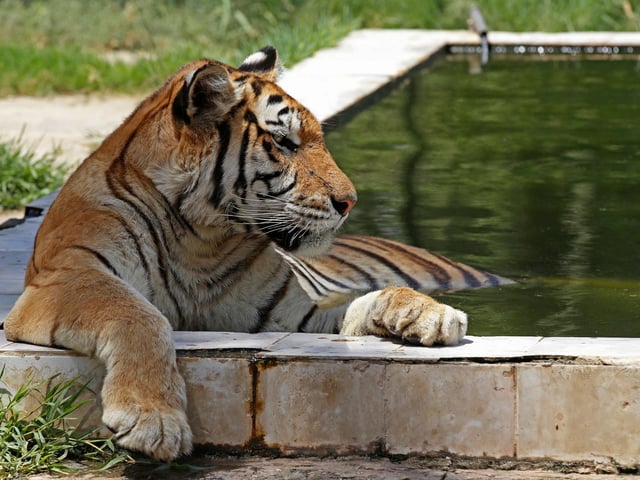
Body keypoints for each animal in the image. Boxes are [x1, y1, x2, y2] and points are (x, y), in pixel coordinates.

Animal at [3, 46, 511, 461]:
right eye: (284, 142)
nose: (349, 201)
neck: (201, 239)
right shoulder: (67, 276)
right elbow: (139, 315)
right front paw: (153, 420)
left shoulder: (294, 316)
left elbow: (365, 300)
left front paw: (429, 314)